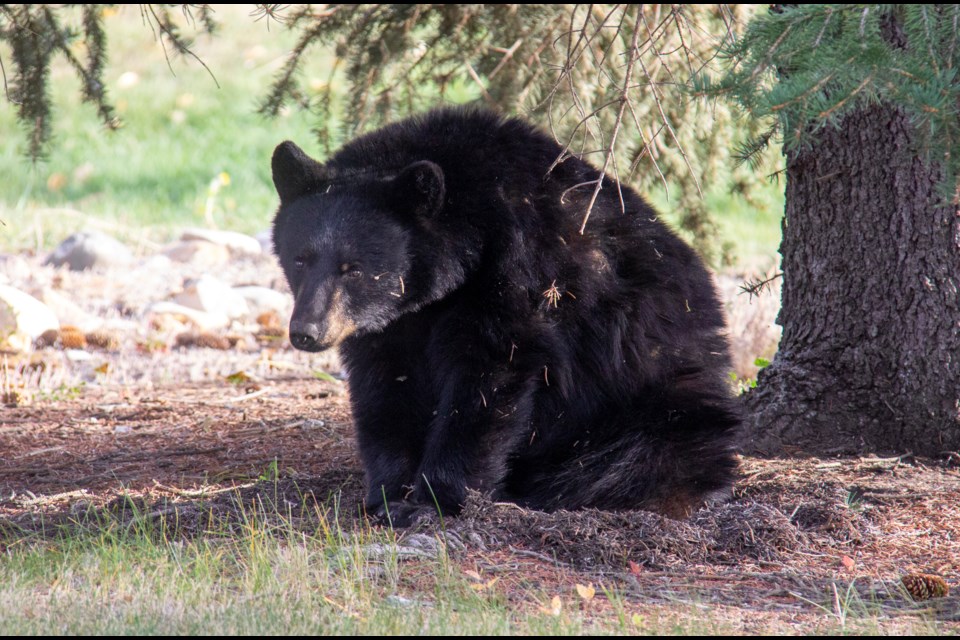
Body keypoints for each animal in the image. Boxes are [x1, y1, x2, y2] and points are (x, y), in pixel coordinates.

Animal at [272, 107, 744, 528]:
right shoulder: (392, 324)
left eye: (352, 268)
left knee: (634, 459)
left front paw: (433, 503)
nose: (306, 332)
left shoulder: (519, 272)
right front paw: (387, 494)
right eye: (300, 259)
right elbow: (385, 387)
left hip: (652, 396)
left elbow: (490, 378)